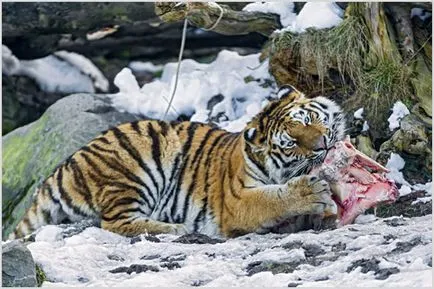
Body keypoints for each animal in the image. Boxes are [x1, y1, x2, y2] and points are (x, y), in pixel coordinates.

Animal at [9, 85, 346, 238]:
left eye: (310, 120)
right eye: (291, 143)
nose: (323, 144)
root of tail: (68, 162)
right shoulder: (236, 202)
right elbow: (272, 199)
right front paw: (311, 193)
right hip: (134, 171)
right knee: (114, 223)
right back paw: (176, 228)